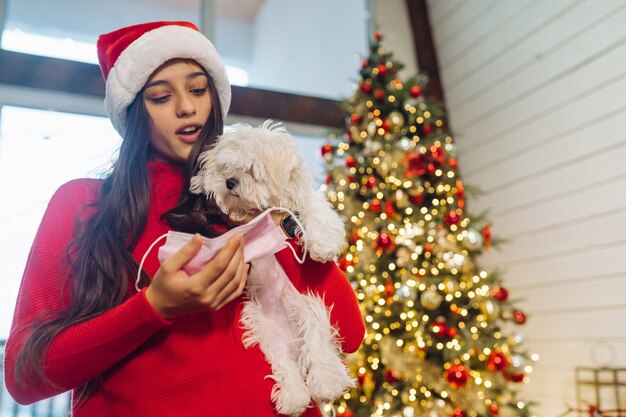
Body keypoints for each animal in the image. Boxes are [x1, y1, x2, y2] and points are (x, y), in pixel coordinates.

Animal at [188, 119, 354, 412]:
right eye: (227, 168)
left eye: (252, 171)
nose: (230, 182)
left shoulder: (300, 202)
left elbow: (313, 208)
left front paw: (323, 244)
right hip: (266, 331)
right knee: (285, 366)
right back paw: (294, 398)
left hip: (308, 310)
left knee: (318, 348)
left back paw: (326, 383)